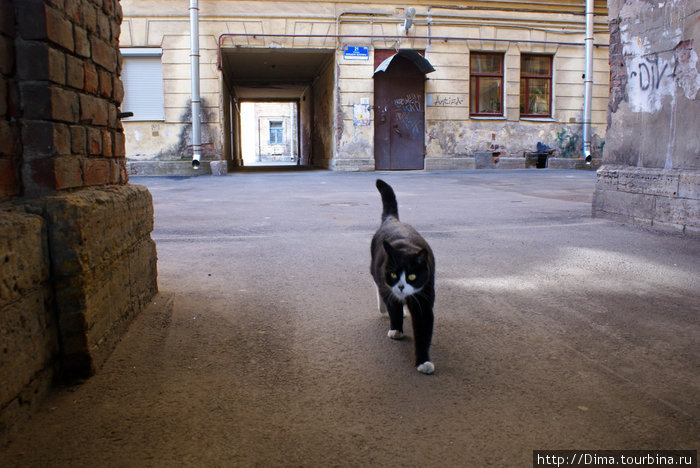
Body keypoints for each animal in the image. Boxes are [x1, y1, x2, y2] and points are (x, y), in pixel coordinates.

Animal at [370, 181, 434, 374]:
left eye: (412, 276)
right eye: (393, 274)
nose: (400, 286)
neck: (406, 247)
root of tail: (393, 220)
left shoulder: (424, 300)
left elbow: (423, 330)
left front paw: (423, 361)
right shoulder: (388, 287)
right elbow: (394, 310)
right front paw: (396, 330)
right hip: (374, 270)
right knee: (379, 288)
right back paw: (384, 308)